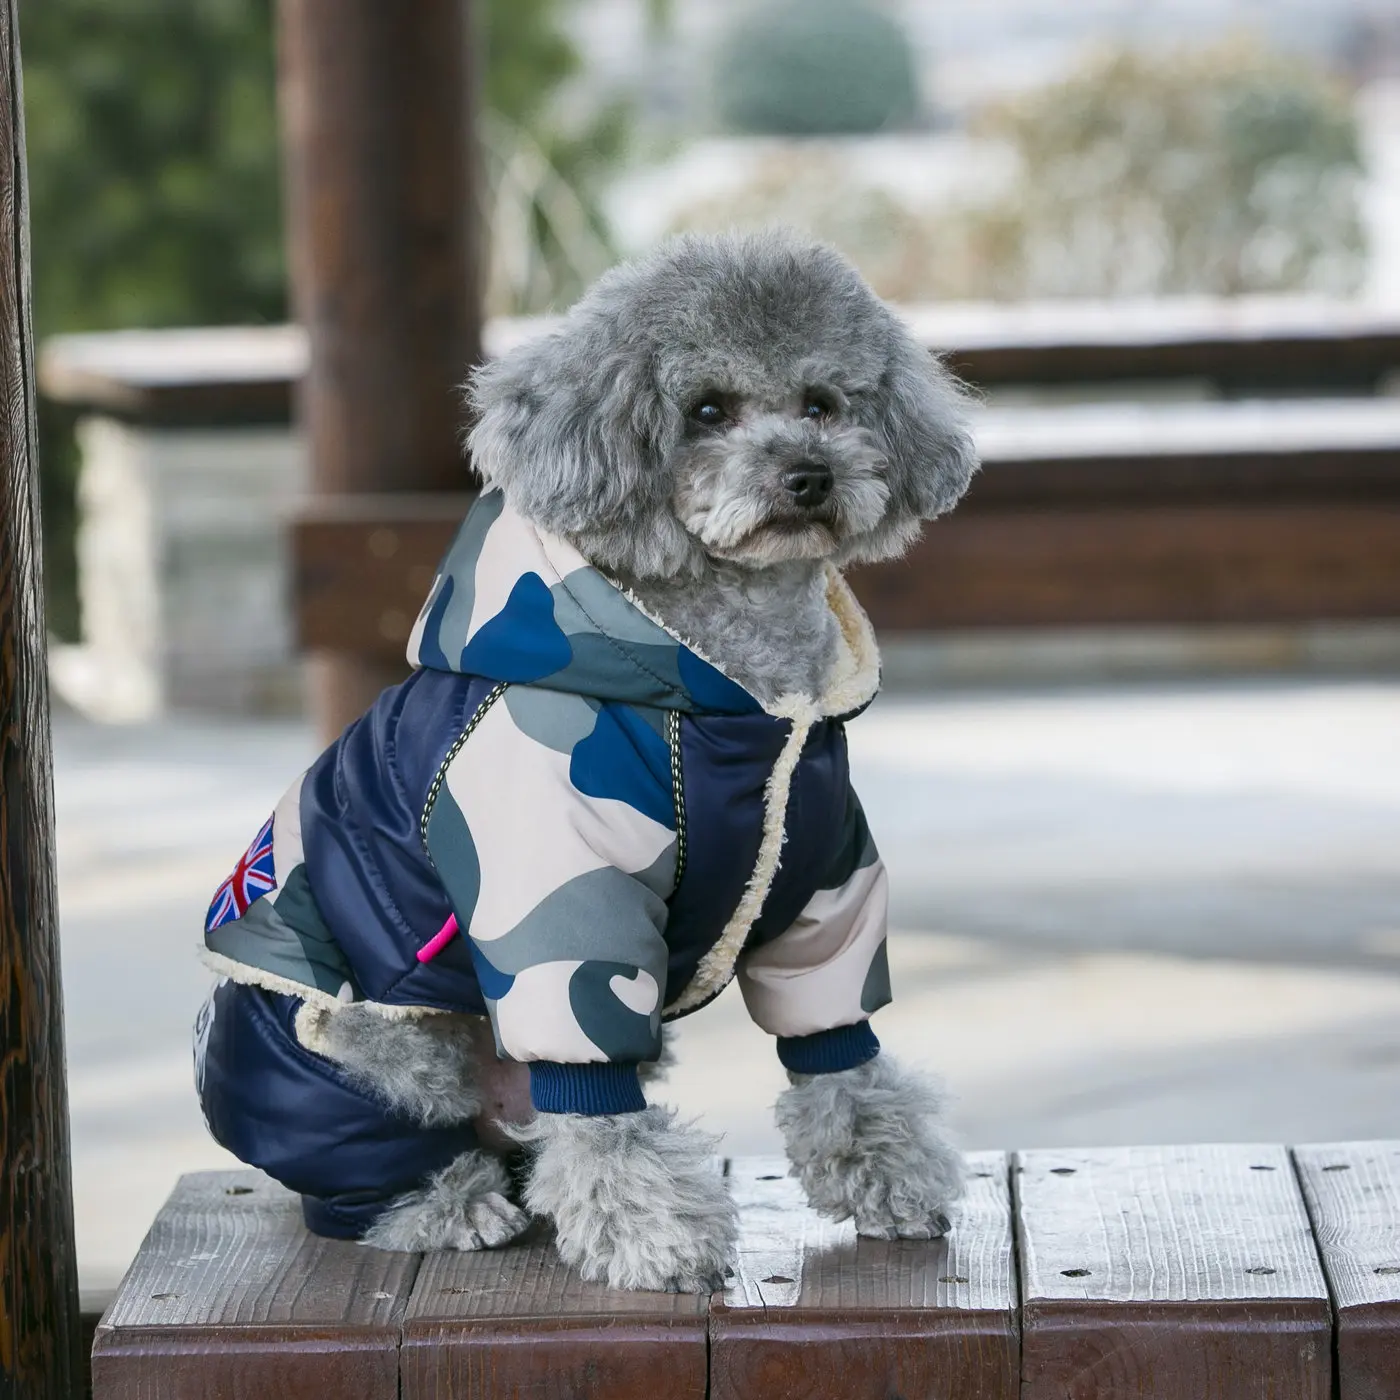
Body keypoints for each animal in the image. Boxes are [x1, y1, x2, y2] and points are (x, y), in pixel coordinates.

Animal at [197, 226, 974, 1288]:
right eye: (706, 409)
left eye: (823, 402)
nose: (810, 473)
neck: (739, 695)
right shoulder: (563, 908)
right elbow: (599, 1107)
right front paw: (658, 1233)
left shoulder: (824, 883)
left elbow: (838, 1044)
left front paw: (887, 1173)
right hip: (353, 1053)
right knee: (366, 1164)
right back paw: (450, 1204)